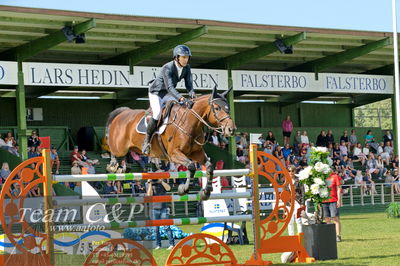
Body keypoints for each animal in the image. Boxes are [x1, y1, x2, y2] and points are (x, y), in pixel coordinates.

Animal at [106, 86, 238, 201]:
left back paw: (125, 167)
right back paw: (113, 165)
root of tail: (122, 113)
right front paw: (183, 189)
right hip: (119, 146)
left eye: (228, 108)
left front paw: (206, 192)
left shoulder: (196, 153)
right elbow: (191, 166)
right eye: (217, 108)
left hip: (133, 147)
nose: (231, 129)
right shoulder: (174, 154)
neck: (189, 122)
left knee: (129, 153)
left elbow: (209, 167)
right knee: (112, 148)